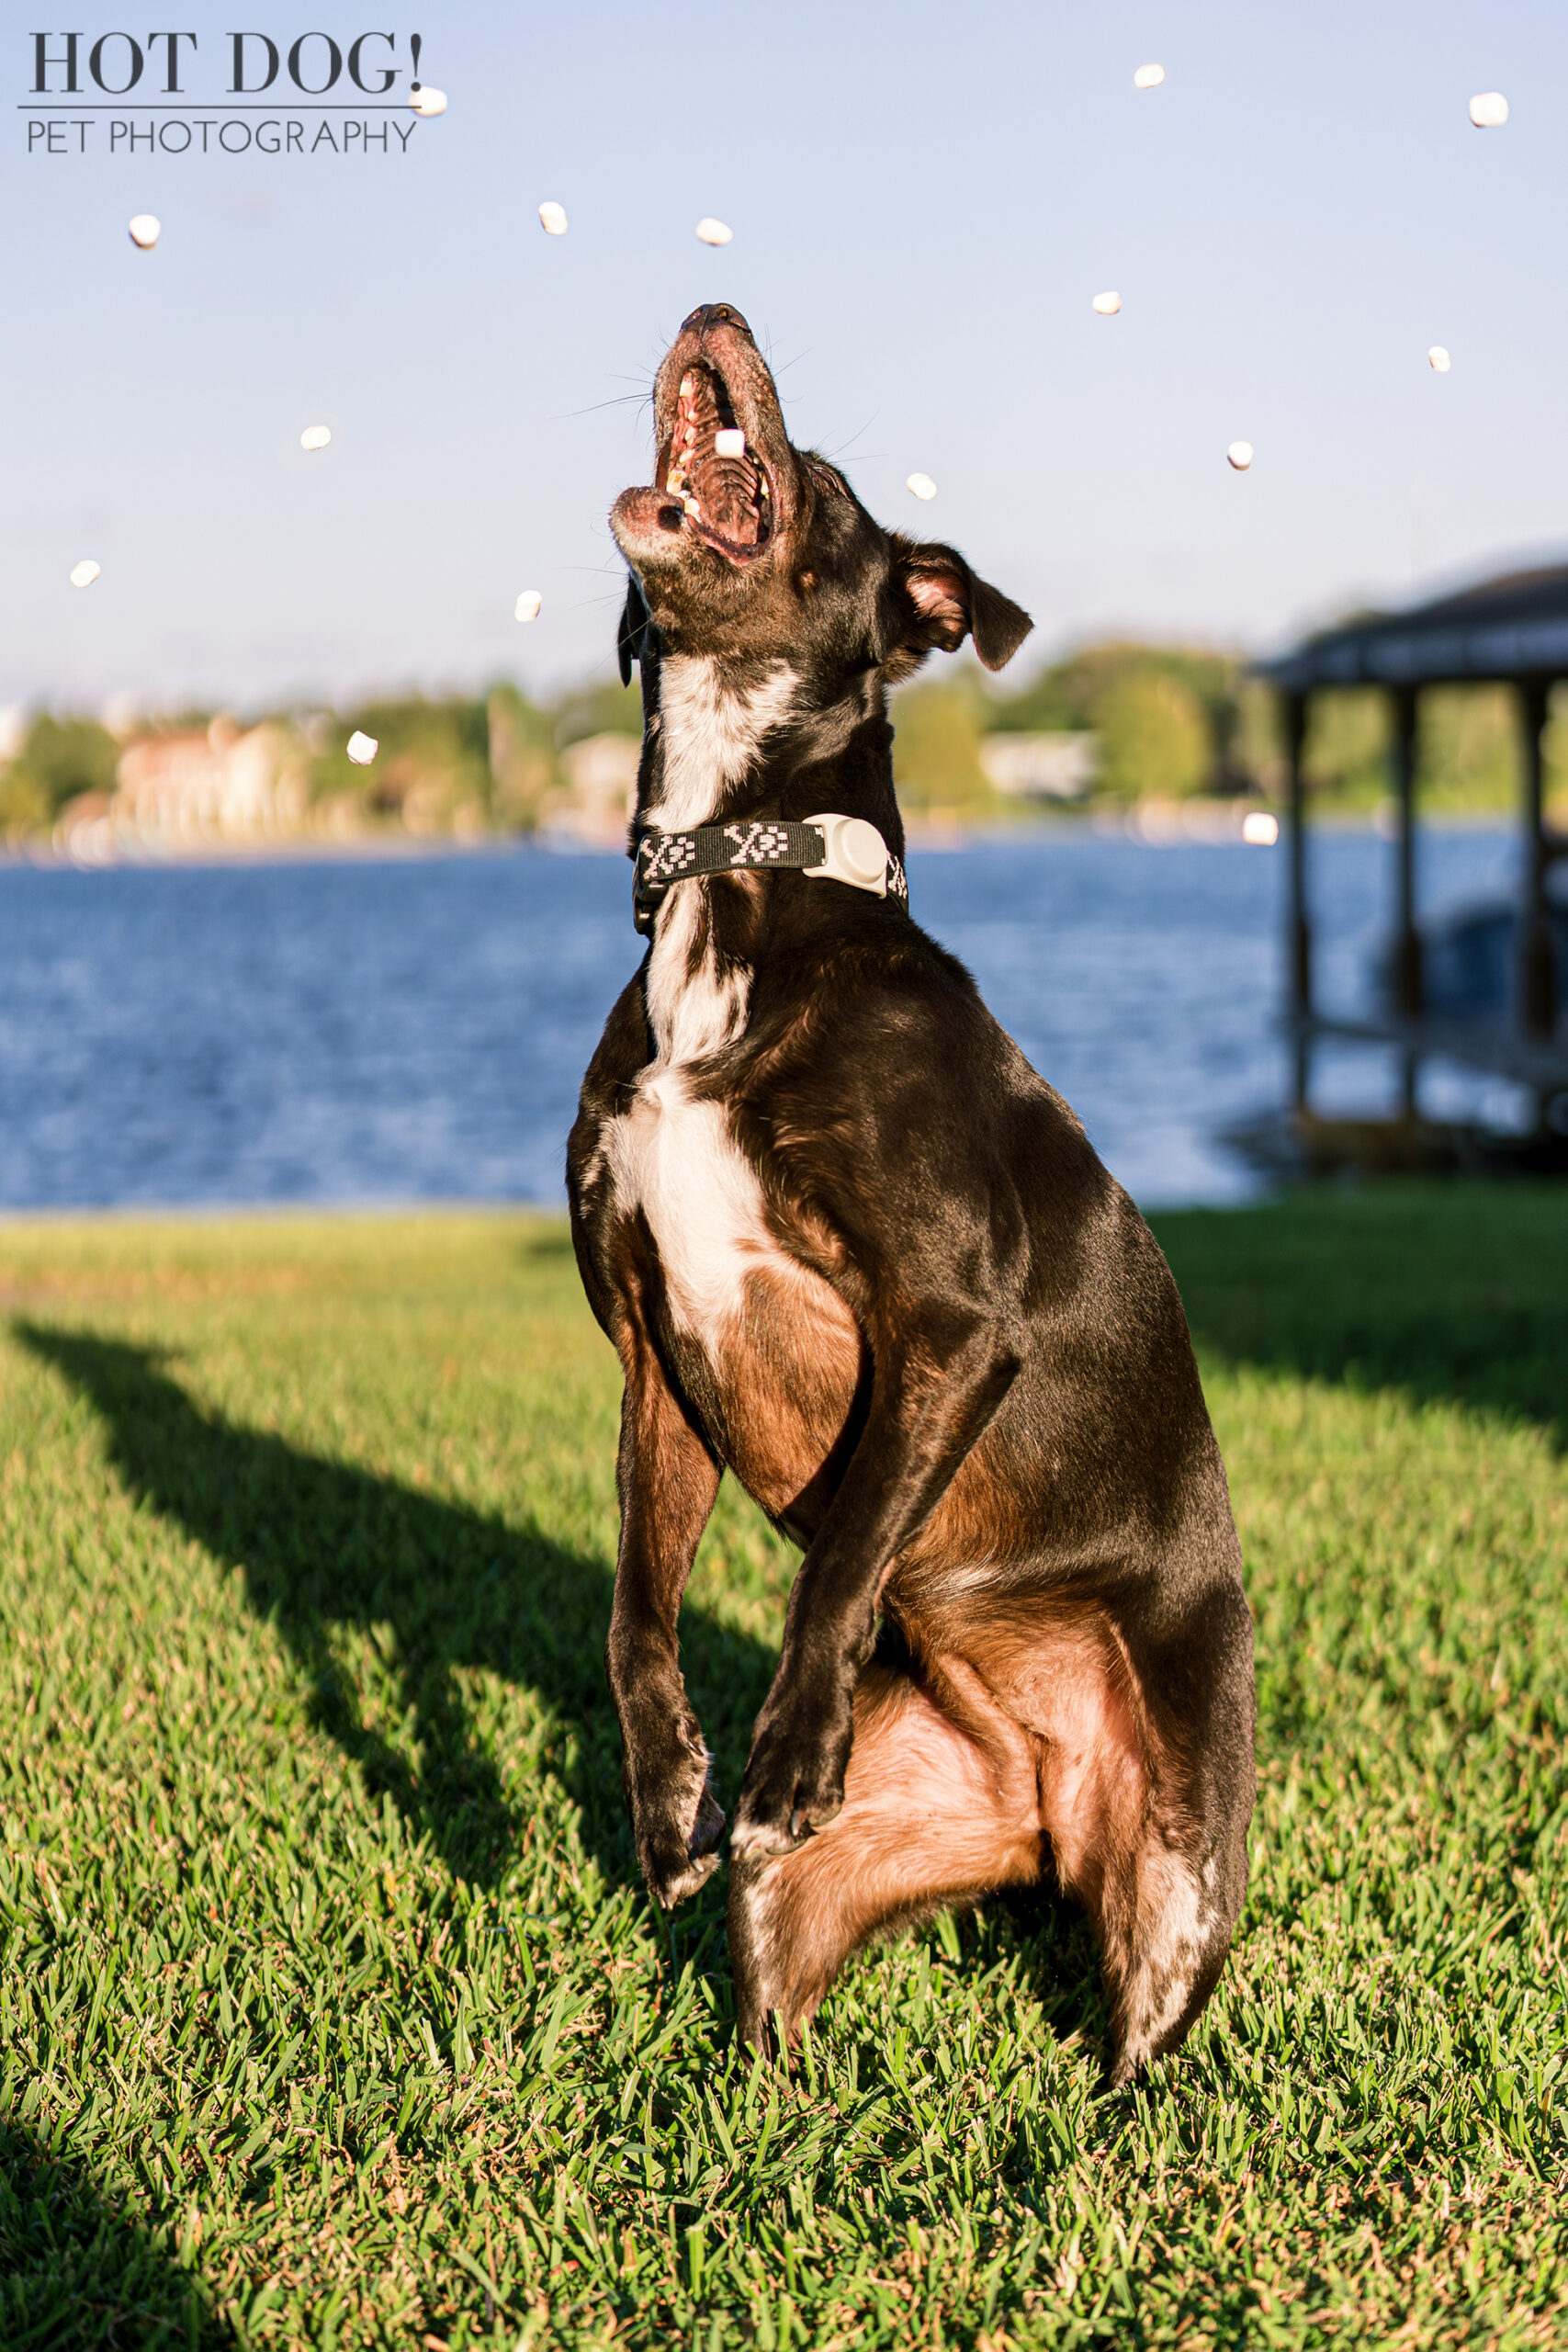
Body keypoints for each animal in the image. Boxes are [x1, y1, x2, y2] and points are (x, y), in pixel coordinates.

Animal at [570, 303, 1259, 2088]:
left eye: (816, 478)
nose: (716, 311)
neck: (740, 885)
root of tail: (1043, 1809)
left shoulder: (950, 1329)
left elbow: (840, 1559)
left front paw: (783, 1746)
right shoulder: (653, 1354)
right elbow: (632, 1612)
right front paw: (672, 1798)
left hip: (1183, 1874)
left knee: (1139, 2062)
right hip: (805, 1902)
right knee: (774, 2006)